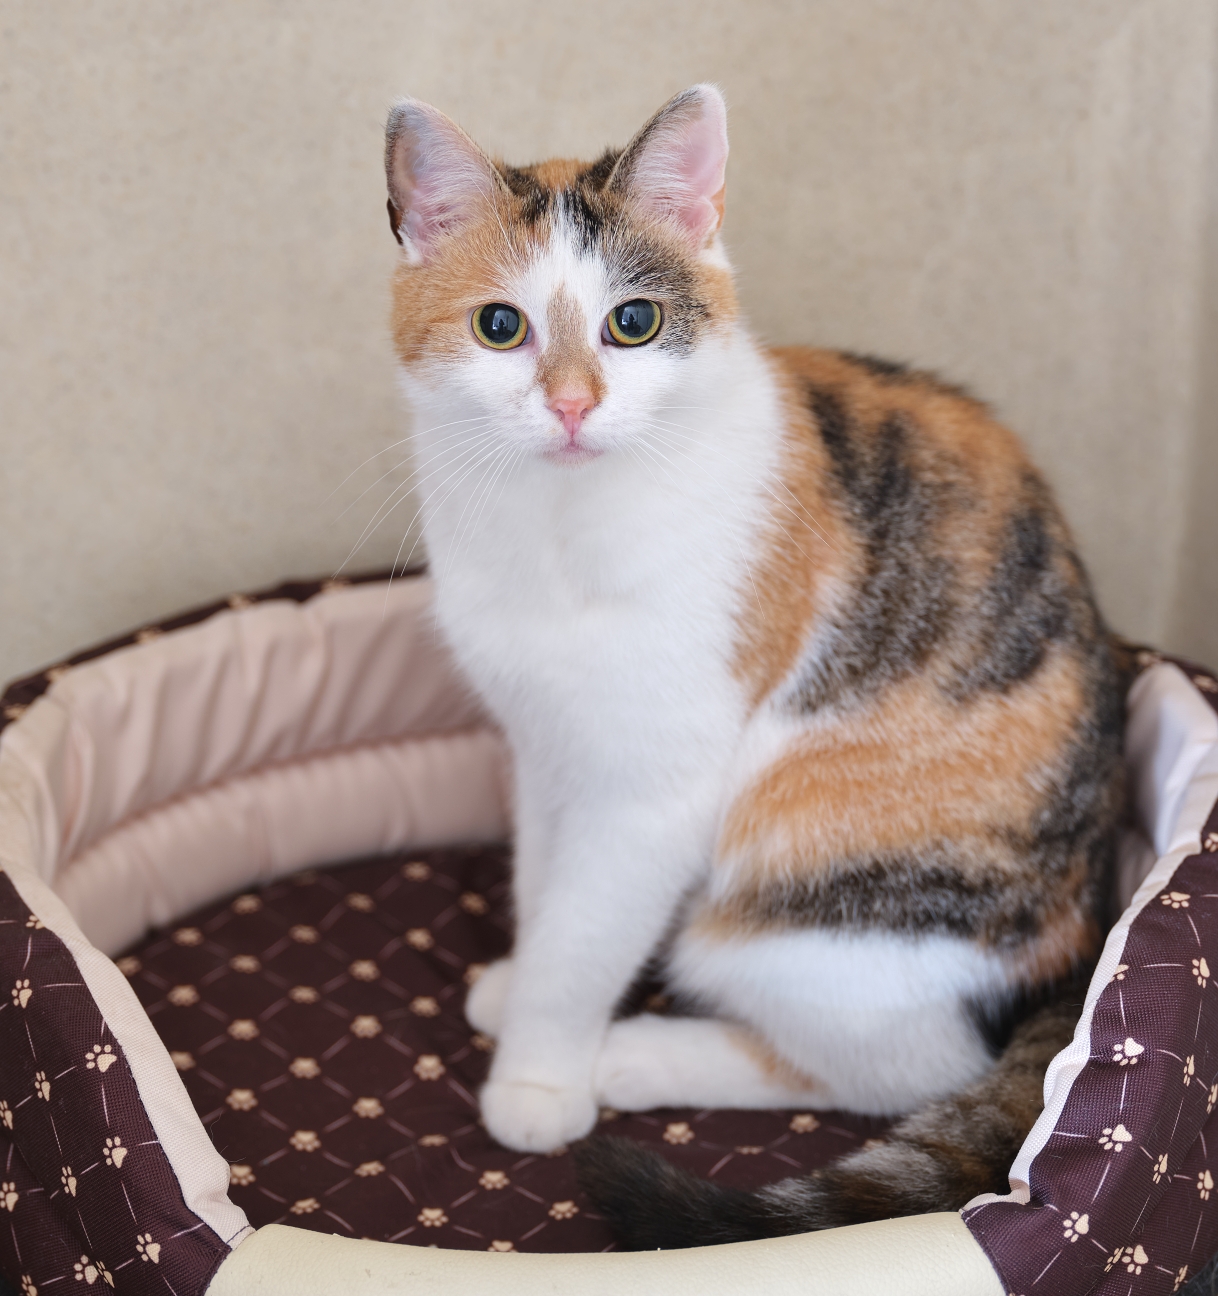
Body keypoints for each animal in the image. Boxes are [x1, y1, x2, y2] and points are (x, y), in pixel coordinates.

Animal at [382, 83, 1124, 1248]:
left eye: (633, 322)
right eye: (500, 326)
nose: (573, 403)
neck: (557, 528)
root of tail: (1076, 949)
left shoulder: (655, 786)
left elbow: (587, 932)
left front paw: (541, 1076)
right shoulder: (548, 747)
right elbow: (547, 889)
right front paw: (522, 986)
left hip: (813, 903)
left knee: (901, 1067)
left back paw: (637, 1057)